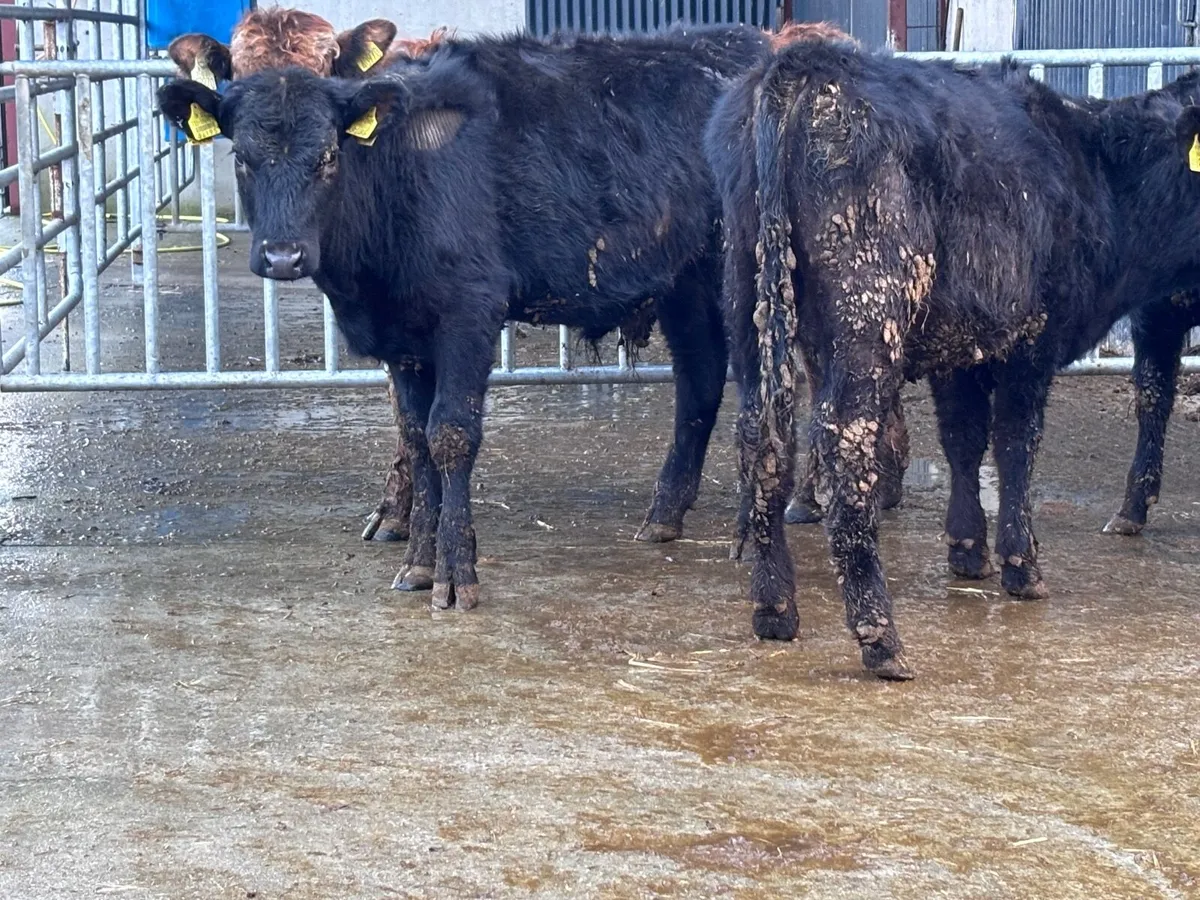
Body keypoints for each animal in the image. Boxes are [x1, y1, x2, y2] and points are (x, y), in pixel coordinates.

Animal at [159, 25, 788, 611]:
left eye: (329, 157)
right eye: (241, 157)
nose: (283, 255)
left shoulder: (469, 313)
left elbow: (451, 436)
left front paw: (455, 574)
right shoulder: (404, 339)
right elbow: (416, 439)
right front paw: (418, 562)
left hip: (744, 278)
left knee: (758, 394)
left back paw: (749, 532)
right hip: (682, 281)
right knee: (700, 381)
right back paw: (664, 514)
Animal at [706, 39, 1200, 679]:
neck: (1093, 166)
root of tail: (805, 65)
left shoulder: (959, 346)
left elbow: (963, 439)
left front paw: (967, 549)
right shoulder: (1031, 339)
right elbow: (1015, 444)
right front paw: (1021, 565)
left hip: (747, 298)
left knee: (759, 438)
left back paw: (774, 608)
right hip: (869, 309)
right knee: (843, 444)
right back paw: (881, 639)